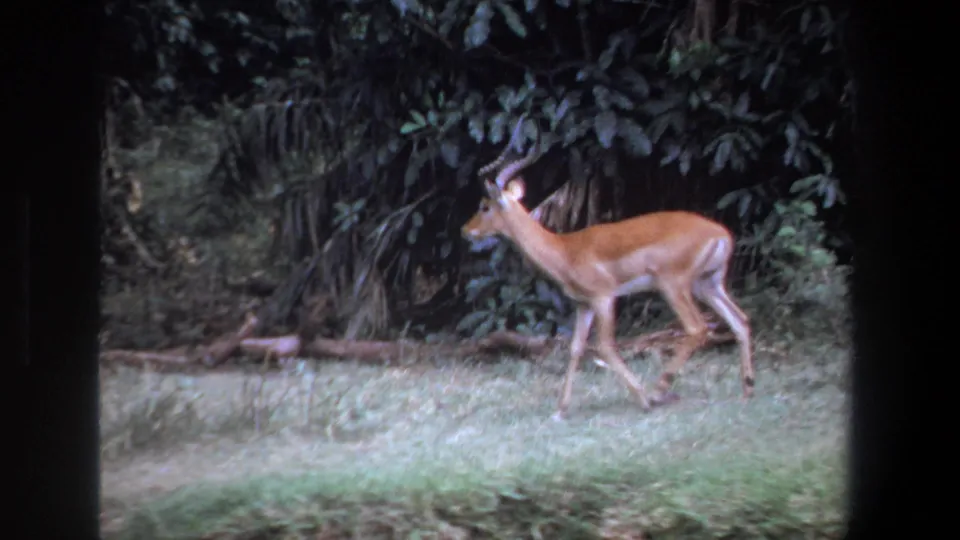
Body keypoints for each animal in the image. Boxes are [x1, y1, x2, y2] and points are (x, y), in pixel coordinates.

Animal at [461, 119, 754, 421]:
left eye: (484, 206)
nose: (465, 230)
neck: (565, 250)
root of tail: (720, 234)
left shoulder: (604, 298)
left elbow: (604, 346)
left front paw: (643, 399)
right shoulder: (584, 304)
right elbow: (576, 348)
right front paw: (560, 410)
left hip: (674, 286)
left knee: (697, 328)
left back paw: (659, 391)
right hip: (708, 285)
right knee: (740, 320)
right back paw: (747, 391)